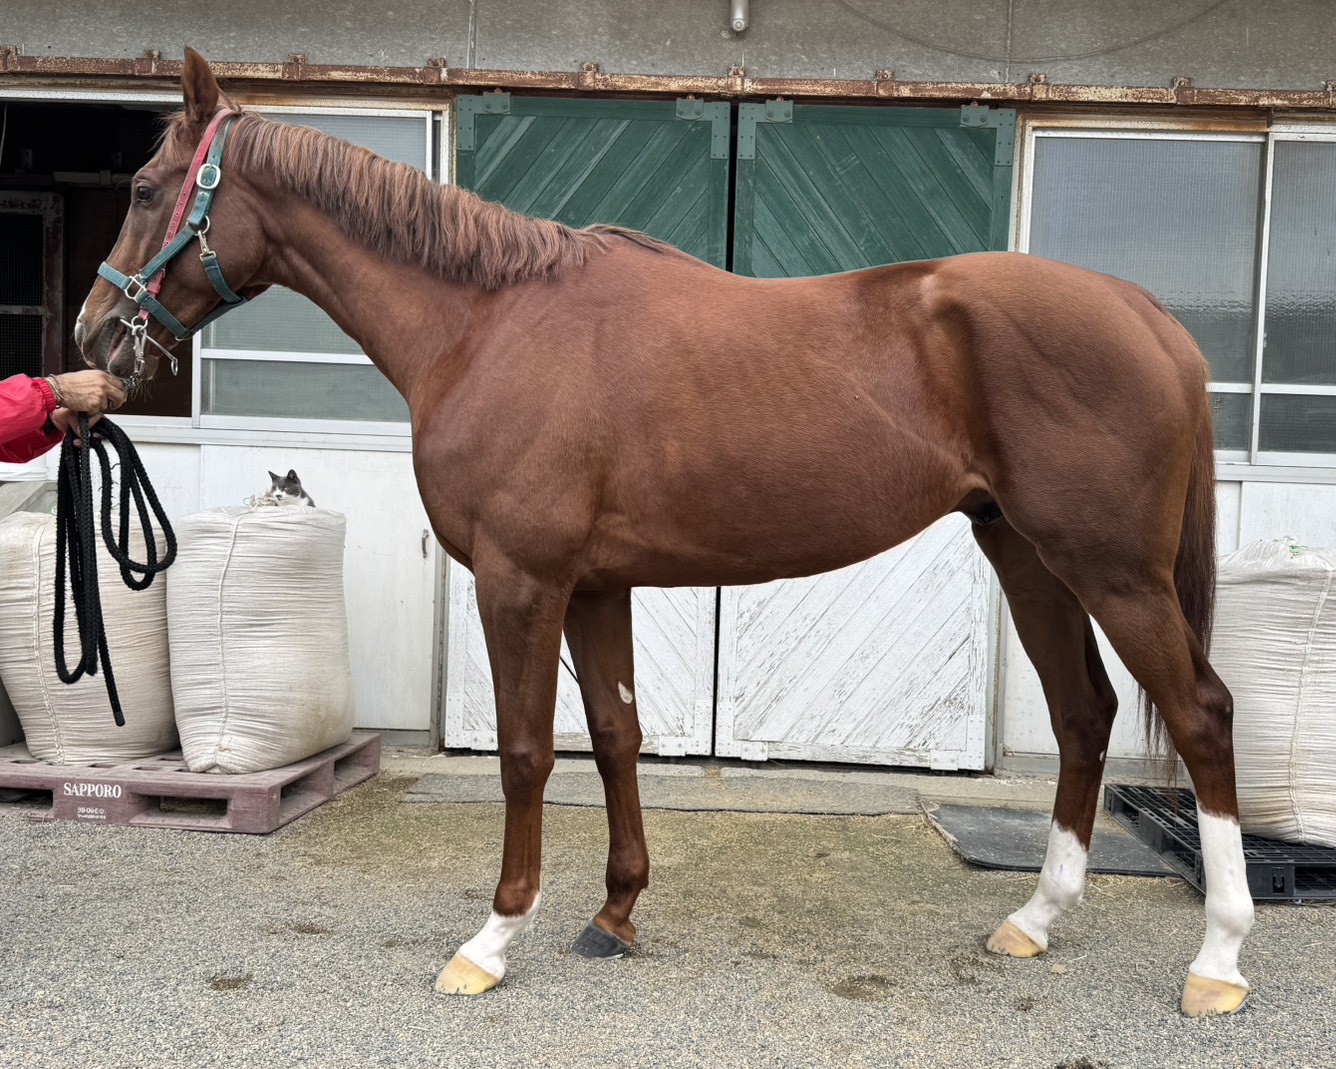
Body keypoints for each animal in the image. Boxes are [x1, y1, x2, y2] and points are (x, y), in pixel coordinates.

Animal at [76, 49, 1254, 1016]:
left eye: (142, 189)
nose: (92, 335)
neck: (487, 323)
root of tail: (1146, 311)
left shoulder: (520, 581)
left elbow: (524, 752)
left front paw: (492, 937)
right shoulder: (598, 586)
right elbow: (616, 735)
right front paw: (614, 914)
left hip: (1112, 569)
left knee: (1200, 715)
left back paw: (1218, 961)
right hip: (1028, 554)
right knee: (1084, 713)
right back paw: (1035, 920)